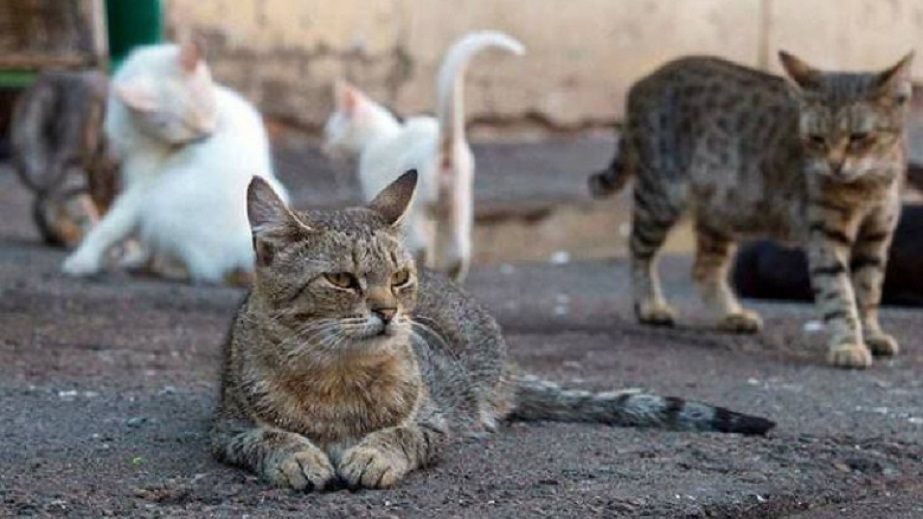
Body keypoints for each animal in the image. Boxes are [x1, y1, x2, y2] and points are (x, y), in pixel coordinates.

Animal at [61, 40, 288, 284]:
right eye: (179, 127)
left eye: (206, 107)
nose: (207, 135)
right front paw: (136, 258)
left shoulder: (142, 189)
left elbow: (110, 227)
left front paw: (82, 260)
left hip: (161, 206)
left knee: (202, 268)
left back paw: (170, 268)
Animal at [213, 171, 776, 492]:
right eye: (342, 280)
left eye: (399, 278)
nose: (389, 311)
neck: (338, 377)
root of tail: (506, 371)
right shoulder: (227, 429)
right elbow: (268, 437)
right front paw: (298, 456)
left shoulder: (434, 423)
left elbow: (403, 434)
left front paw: (372, 453)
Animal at [324, 30, 528, 282]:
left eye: (329, 132)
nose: (324, 147)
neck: (378, 135)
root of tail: (442, 142)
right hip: (460, 203)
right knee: (458, 252)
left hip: (421, 204)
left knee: (421, 245)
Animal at [588, 51, 912, 370]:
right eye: (816, 138)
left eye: (858, 137)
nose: (834, 165)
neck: (868, 185)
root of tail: (645, 80)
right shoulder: (826, 236)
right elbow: (839, 294)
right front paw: (848, 344)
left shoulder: (876, 236)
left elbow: (868, 290)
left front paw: (871, 334)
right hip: (660, 197)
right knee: (639, 252)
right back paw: (650, 305)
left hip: (721, 213)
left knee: (704, 269)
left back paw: (730, 314)